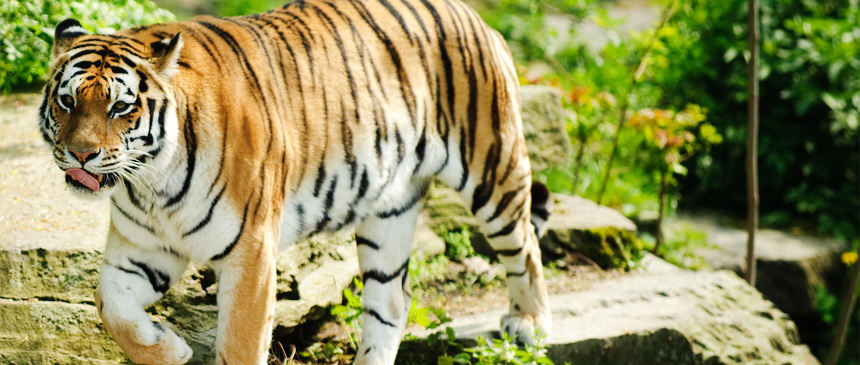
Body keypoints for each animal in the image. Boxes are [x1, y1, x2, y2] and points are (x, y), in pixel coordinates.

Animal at [38, 0, 552, 362]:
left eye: (120, 107)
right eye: (67, 102)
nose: (81, 153)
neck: (151, 186)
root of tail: (475, 15)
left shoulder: (251, 255)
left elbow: (240, 345)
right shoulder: (142, 250)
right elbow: (110, 305)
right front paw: (169, 348)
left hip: (493, 169)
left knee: (525, 245)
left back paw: (530, 323)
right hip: (389, 209)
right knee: (392, 300)